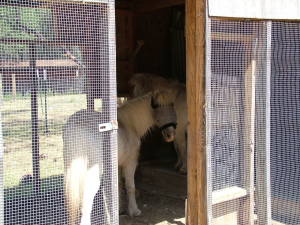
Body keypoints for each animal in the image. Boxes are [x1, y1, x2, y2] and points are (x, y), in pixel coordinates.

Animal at [62, 90, 177, 224]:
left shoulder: (117, 165)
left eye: (172, 105)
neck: (129, 125)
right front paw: (134, 210)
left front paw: (117, 210)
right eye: (157, 106)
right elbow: (130, 186)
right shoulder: (130, 163)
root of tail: (76, 125)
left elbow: (117, 187)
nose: (170, 135)